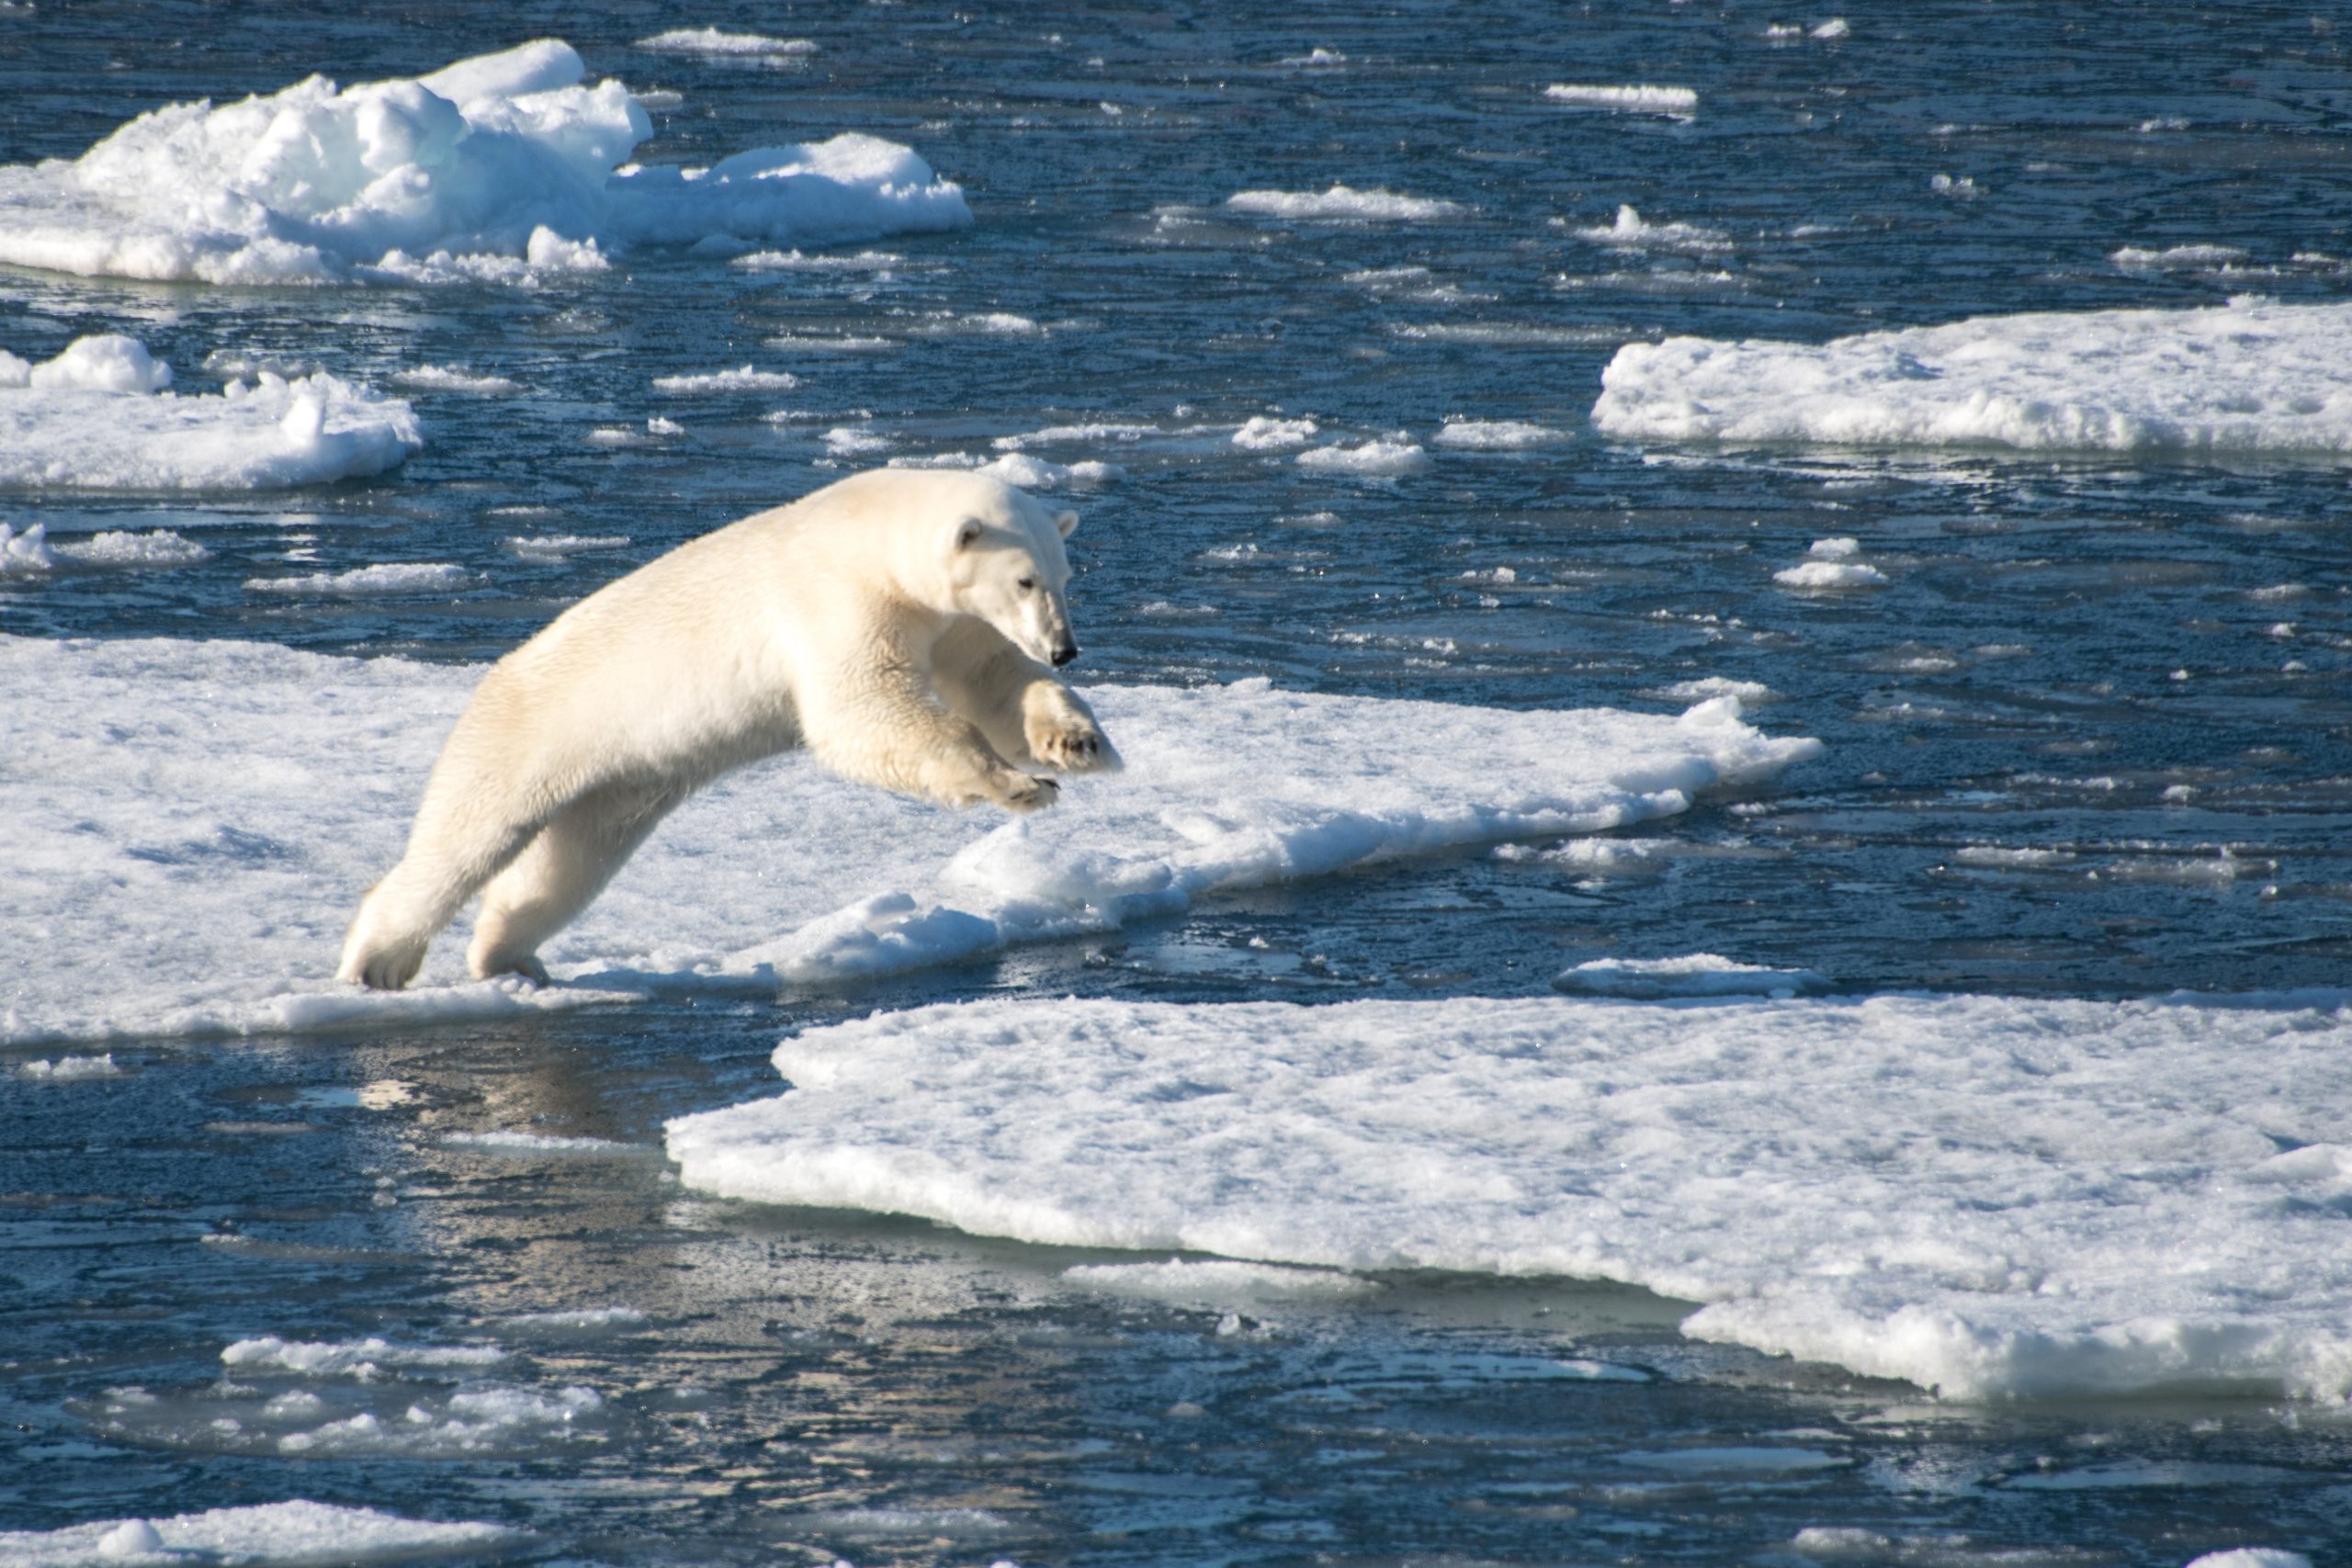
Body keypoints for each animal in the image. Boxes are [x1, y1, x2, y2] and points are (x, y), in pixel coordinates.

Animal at [334, 463, 1128, 991]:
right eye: (1024, 579)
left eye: (1064, 576)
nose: (1065, 647)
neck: (869, 533)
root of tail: (494, 677)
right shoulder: (836, 600)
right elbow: (860, 713)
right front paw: (1016, 785)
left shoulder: (948, 621)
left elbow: (995, 680)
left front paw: (1080, 744)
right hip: (530, 732)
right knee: (466, 839)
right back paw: (376, 963)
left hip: (622, 780)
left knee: (566, 867)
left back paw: (510, 958)